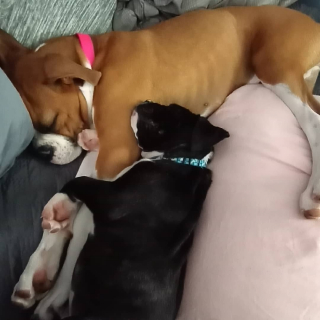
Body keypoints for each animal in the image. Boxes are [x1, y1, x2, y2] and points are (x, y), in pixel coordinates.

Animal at [0, 5, 320, 180]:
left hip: (276, 70)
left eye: (49, 123)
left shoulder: (115, 154)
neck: (93, 61)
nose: (40, 153)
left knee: (313, 120)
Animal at [11, 102, 229, 320]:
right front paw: (91, 138)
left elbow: (81, 181)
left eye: (158, 122)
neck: (182, 160)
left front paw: (58, 204)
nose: (146, 102)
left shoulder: (112, 199)